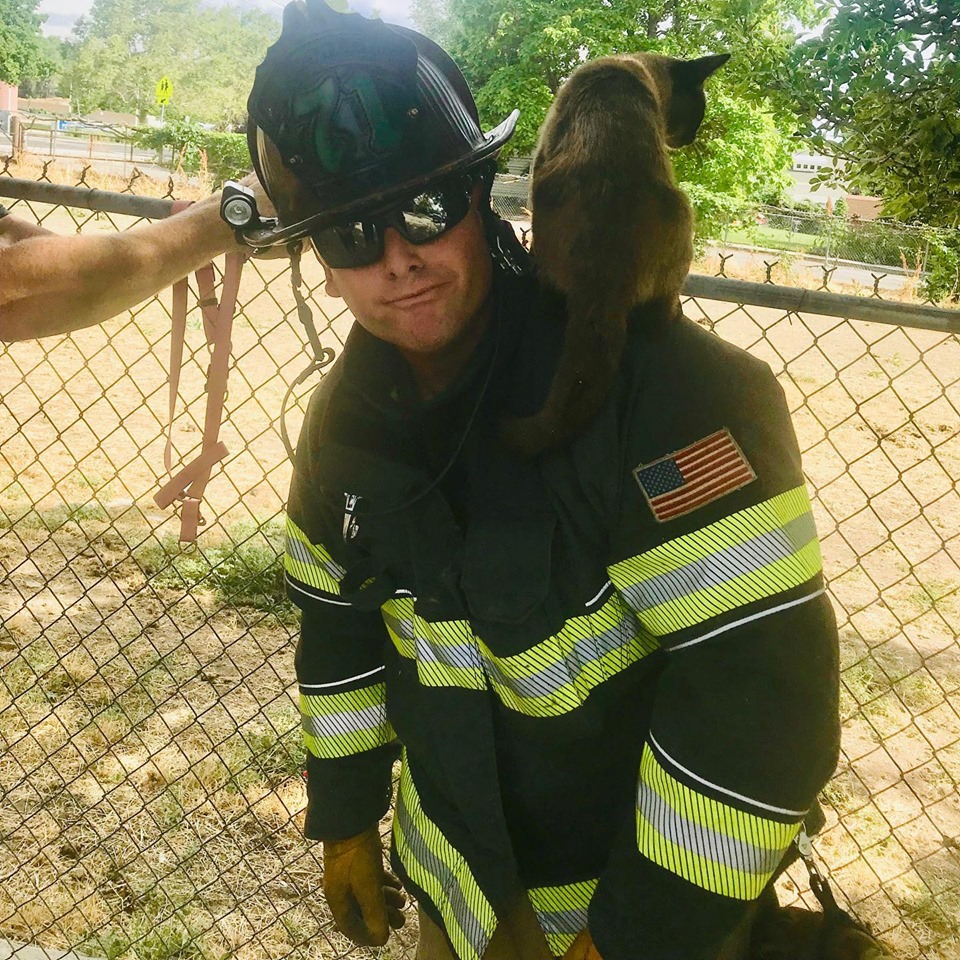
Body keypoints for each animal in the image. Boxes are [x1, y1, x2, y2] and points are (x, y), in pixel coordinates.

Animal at [502, 51, 728, 458]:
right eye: (698, 112)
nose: (691, 137)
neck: (636, 66)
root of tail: (602, 279)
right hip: (685, 211)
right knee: (657, 318)